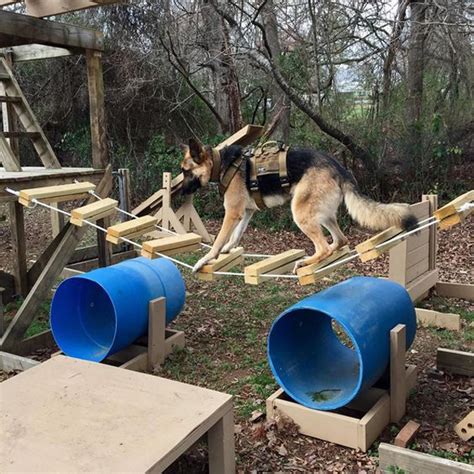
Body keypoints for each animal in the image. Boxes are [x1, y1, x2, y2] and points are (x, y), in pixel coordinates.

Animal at [180, 139, 416, 272]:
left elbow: (218, 240)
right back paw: (325, 254)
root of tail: (341, 169)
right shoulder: (246, 213)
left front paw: (206, 259)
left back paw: (307, 262)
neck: (222, 163)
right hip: (322, 215)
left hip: (300, 212)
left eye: (185, 171)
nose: (180, 192)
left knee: (323, 247)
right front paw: (229, 248)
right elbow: (236, 235)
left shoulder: (232, 213)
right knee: (339, 240)